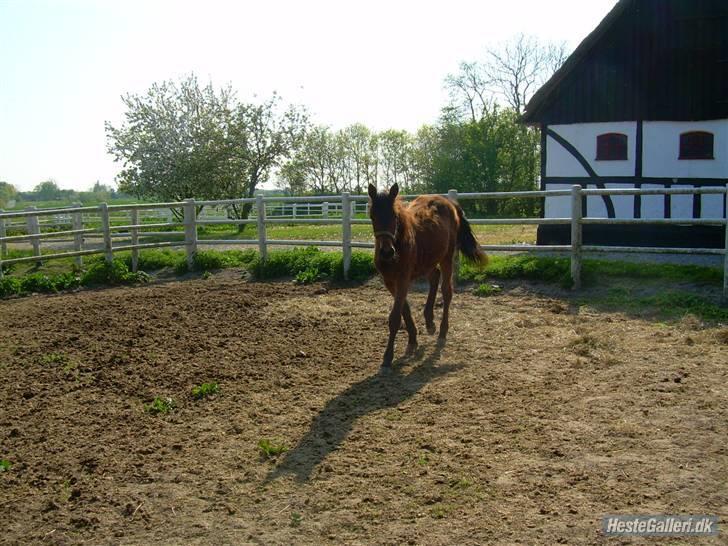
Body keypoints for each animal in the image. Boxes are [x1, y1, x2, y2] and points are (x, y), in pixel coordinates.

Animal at [366, 183, 486, 370]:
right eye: (372, 216)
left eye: (394, 216)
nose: (386, 252)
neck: (398, 245)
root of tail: (449, 202)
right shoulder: (390, 281)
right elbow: (405, 310)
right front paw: (413, 340)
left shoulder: (403, 279)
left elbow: (395, 317)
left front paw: (387, 357)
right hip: (427, 261)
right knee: (434, 277)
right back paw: (429, 322)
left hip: (447, 256)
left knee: (447, 291)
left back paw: (442, 332)